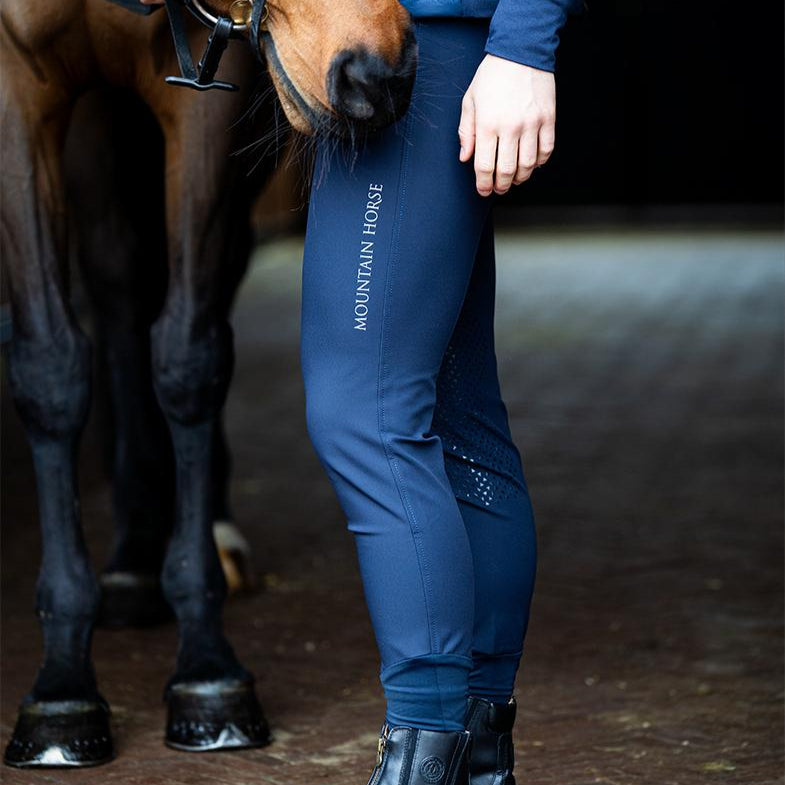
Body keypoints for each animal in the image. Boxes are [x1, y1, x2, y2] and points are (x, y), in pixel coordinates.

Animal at [1, 0, 416, 767]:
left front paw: (208, 674)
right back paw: (131, 562)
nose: (382, 73)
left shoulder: (209, 102)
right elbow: (48, 369)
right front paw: (60, 691)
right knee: (118, 281)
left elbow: (189, 357)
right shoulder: (17, 87)